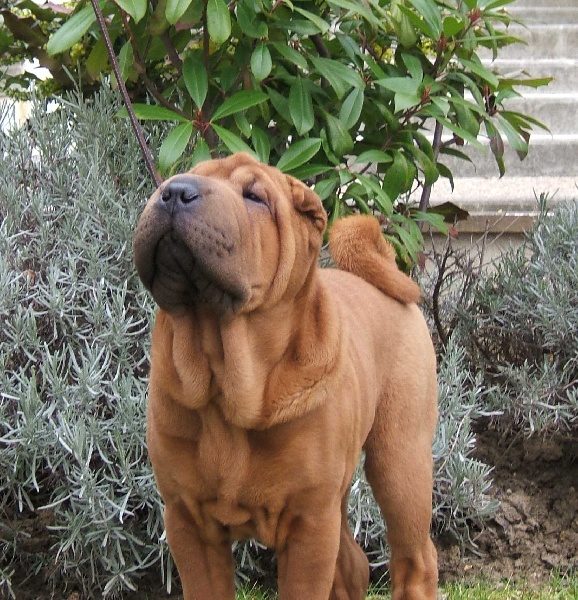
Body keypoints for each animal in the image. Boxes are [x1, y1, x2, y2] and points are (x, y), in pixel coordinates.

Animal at [132, 152, 436, 596]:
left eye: (255, 197)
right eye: (173, 180)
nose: (174, 192)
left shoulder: (308, 522)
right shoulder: (188, 520)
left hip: (400, 461)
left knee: (417, 559)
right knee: (353, 563)